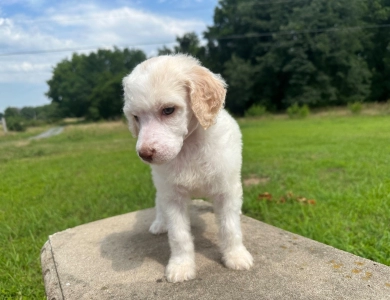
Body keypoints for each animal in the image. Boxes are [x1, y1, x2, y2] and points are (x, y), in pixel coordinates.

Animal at [123, 55, 254, 282]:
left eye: (168, 110)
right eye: (136, 117)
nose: (145, 154)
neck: (189, 146)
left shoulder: (227, 189)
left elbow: (230, 227)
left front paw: (236, 257)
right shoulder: (172, 195)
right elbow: (178, 235)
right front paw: (181, 266)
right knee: (159, 203)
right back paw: (160, 223)